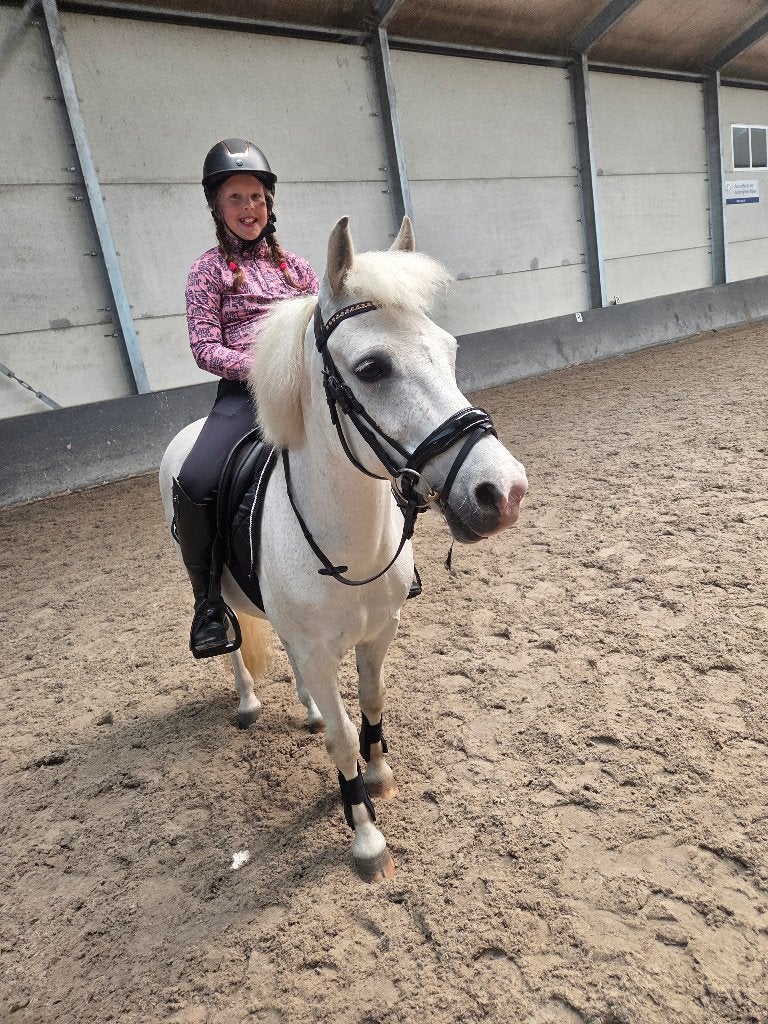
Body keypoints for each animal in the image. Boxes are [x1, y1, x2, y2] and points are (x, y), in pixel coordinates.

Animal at [159, 215, 528, 881]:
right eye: (373, 367)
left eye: (450, 351)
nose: (503, 492)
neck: (349, 545)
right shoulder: (319, 649)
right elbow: (341, 739)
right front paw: (366, 839)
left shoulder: (377, 633)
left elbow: (372, 704)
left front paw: (379, 773)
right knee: (232, 644)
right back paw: (248, 701)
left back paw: (305, 708)